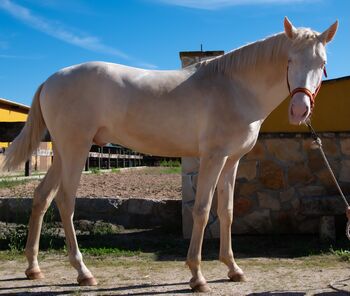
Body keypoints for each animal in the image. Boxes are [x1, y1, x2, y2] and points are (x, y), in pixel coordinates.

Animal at [2, 17, 336, 292]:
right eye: (289, 60)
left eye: (322, 63)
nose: (300, 110)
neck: (234, 86)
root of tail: (51, 79)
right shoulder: (213, 158)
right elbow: (202, 210)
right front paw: (197, 276)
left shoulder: (231, 161)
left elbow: (227, 212)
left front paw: (233, 269)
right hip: (75, 149)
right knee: (65, 201)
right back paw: (83, 272)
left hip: (61, 152)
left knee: (41, 197)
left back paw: (33, 268)